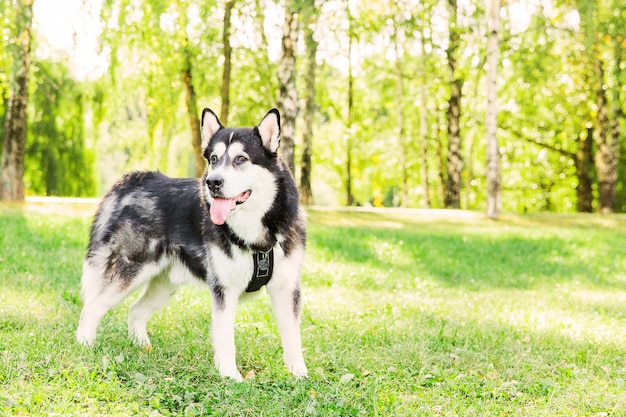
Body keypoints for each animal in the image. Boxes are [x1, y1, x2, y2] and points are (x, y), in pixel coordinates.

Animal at [75, 108, 308, 380]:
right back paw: (85, 346)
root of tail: (135, 180)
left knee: (135, 310)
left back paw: (143, 347)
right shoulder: (224, 289)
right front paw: (230, 376)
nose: (213, 182)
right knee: (92, 307)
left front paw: (299, 375)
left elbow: (293, 337)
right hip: (129, 273)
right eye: (214, 159)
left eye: (241, 159)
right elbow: (225, 338)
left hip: (164, 284)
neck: (255, 229)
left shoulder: (286, 288)